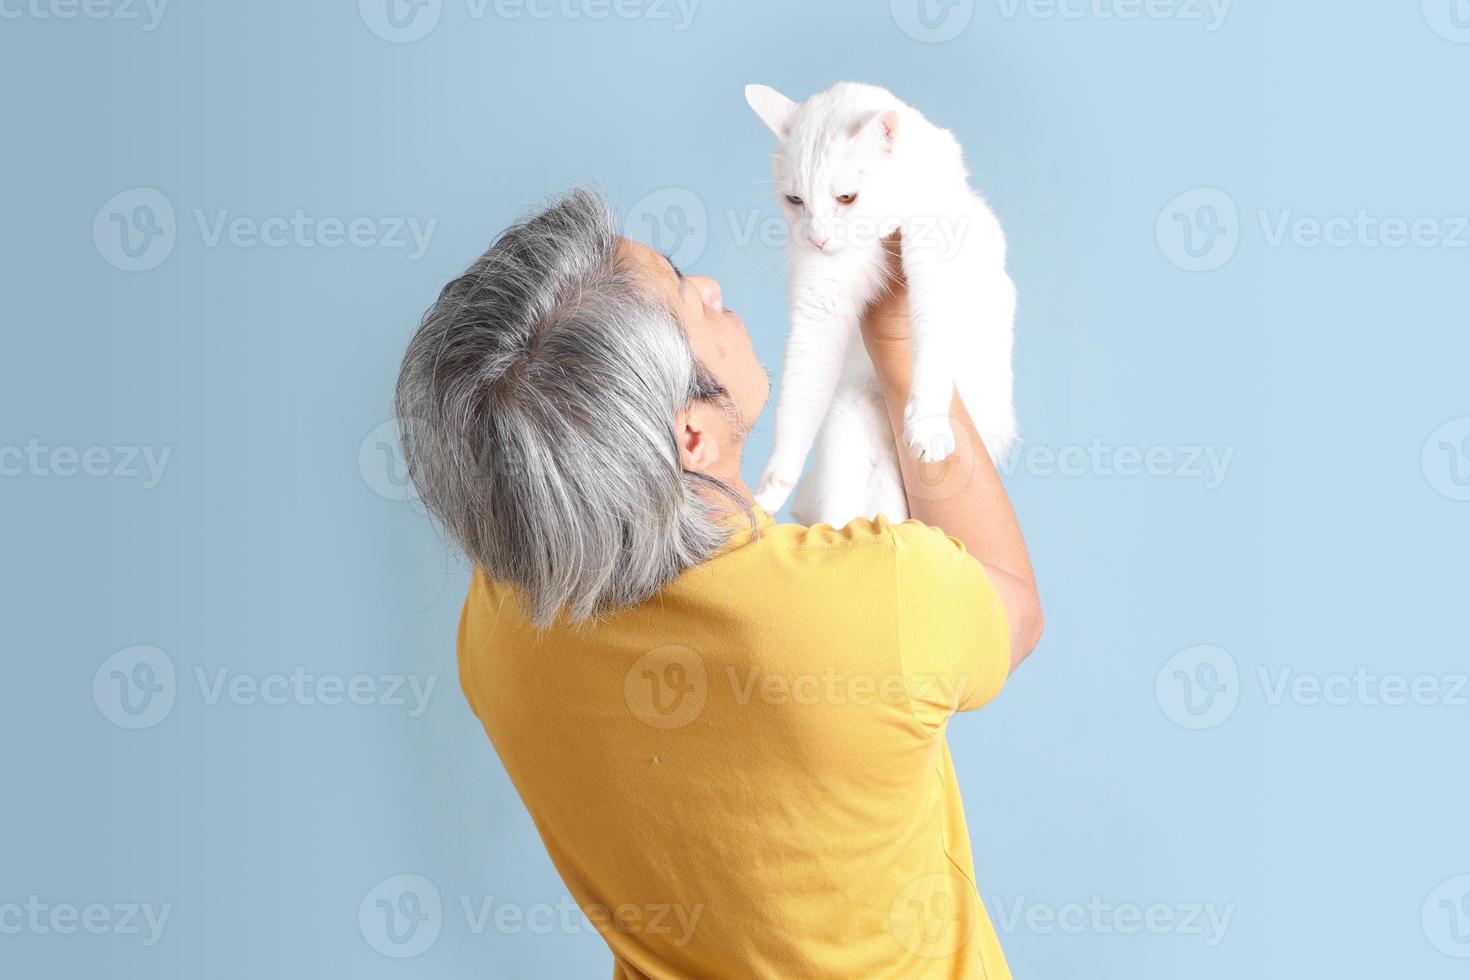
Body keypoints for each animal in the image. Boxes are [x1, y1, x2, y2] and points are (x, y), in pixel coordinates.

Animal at [746, 83, 1011, 528]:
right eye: (795, 200)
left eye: (846, 198)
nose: (817, 239)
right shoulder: (817, 311)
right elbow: (795, 407)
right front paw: (771, 489)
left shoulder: (936, 272)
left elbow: (931, 351)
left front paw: (928, 426)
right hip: (846, 437)